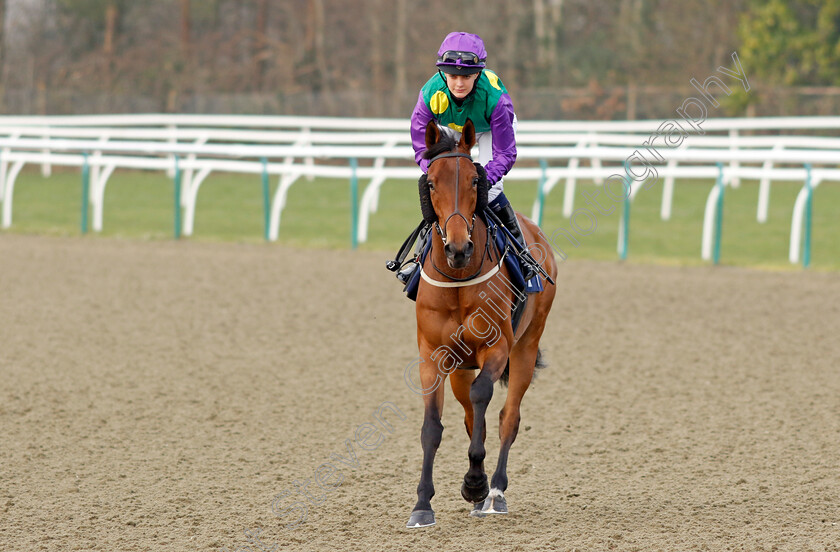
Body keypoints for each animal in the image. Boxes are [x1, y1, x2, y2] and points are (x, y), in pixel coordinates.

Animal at [408, 119, 556, 528]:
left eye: (475, 181)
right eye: (431, 183)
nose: (459, 249)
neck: (459, 279)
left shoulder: (497, 347)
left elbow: (483, 395)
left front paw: (475, 483)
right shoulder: (433, 355)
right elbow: (433, 425)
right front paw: (422, 504)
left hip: (526, 347)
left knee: (508, 417)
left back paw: (494, 492)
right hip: (461, 366)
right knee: (472, 417)